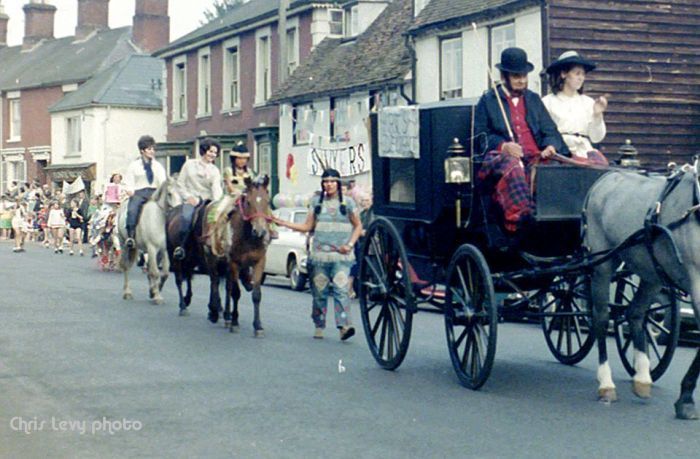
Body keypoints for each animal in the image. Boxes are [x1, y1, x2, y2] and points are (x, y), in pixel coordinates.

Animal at [200, 175, 272, 337]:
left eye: (267, 201)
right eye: (249, 202)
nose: (260, 231)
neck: (248, 236)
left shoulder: (259, 262)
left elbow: (256, 294)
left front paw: (258, 326)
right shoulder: (234, 262)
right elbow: (236, 292)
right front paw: (235, 322)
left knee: (227, 286)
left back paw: (226, 315)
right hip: (211, 256)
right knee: (214, 281)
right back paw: (215, 312)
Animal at [584, 163, 700, 419]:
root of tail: (607, 176)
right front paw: (686, 399)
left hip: (651, 272)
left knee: (635, 312)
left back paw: (643, 377)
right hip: (602, 262)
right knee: (601, 318)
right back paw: (606, 383)